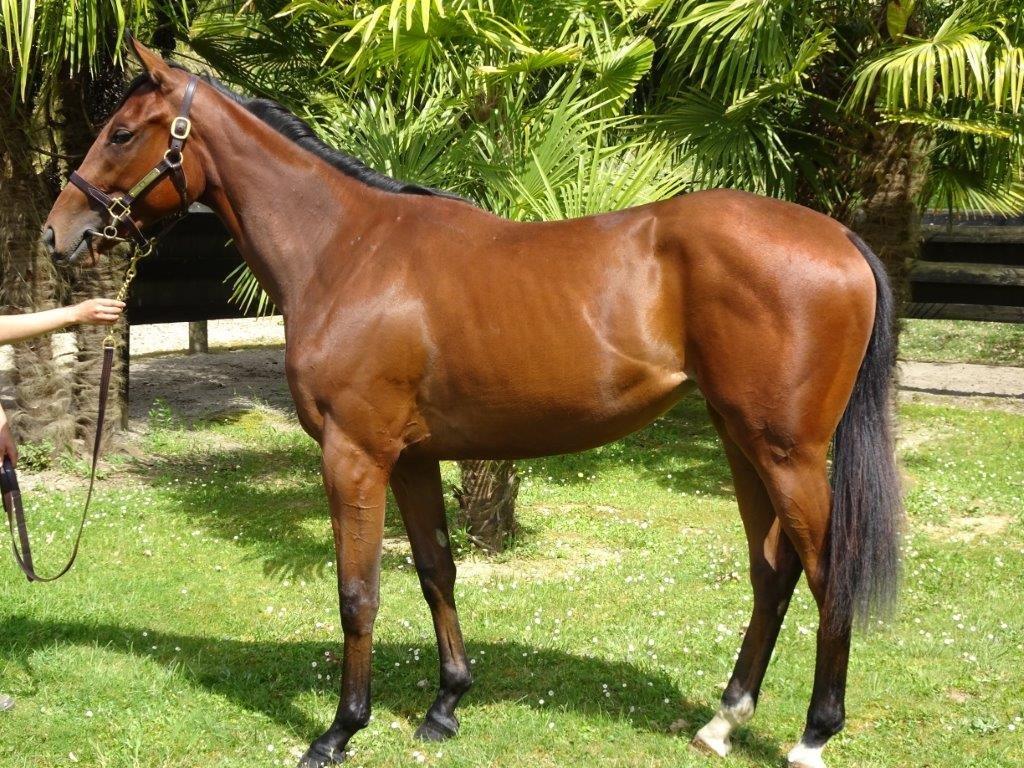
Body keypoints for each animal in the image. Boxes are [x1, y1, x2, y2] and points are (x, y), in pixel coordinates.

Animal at [42, 37, 902, 768]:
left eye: (121, 133)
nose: (58, 234)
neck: (346, 251)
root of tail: (840, 240)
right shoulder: (412, 457)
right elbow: (435, 570)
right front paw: (445, 706)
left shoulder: (353, 454)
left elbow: (358, 593)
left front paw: (340, 729)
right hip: (739, 438)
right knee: (772, 572)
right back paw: (724, 721)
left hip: (787, 451)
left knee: (827, 572)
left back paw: (813, 735)